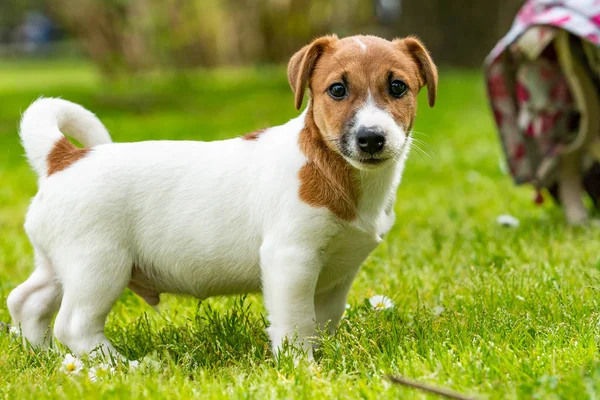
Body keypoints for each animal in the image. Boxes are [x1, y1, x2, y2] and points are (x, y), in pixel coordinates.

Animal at [5, 35, 436, 360]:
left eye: (397, 87)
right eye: (338, 90)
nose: (371, 138)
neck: (331, 168)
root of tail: (63, 158)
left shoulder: (338, 275)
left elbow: (323, 321)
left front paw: (326, 358)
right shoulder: (291, 260)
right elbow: (296, 324)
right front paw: (303, 368)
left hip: (58, 265)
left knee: (26, 301)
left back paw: (46, 358)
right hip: (98, 266)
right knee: (74, 325)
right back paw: (121, 367)